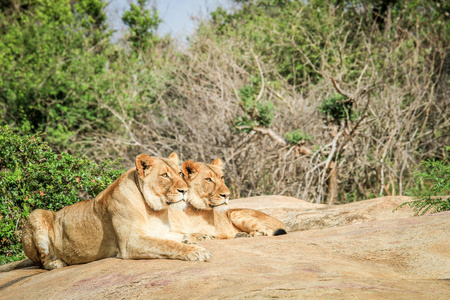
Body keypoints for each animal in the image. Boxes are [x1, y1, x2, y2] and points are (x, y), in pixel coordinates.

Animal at [0, 152, 211, 272]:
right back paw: (56, 263)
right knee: (42, 261)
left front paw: (199, 237)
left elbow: (177, 236)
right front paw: (196, 251)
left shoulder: (159, 231)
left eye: (180, 173)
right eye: (164, 175)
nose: (185, 190)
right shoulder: (130, 243)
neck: (155, 210)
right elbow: (168, 245)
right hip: (36, 215)